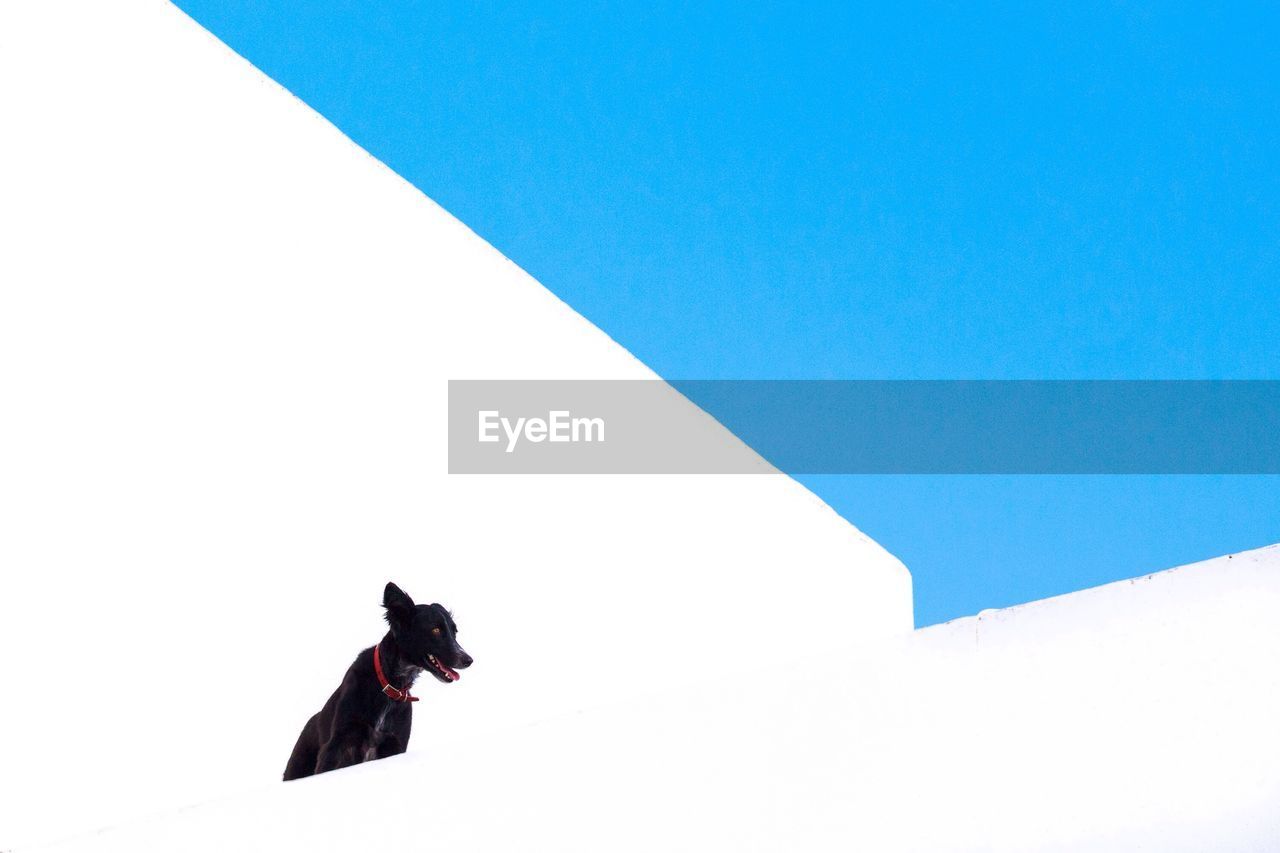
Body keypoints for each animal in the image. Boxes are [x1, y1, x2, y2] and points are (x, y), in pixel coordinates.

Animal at [282, 581, 473, 778]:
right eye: (435, 630)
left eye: (454, 632)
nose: (468, 660)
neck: (389, 683)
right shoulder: (338, 744)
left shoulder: (395, 744)